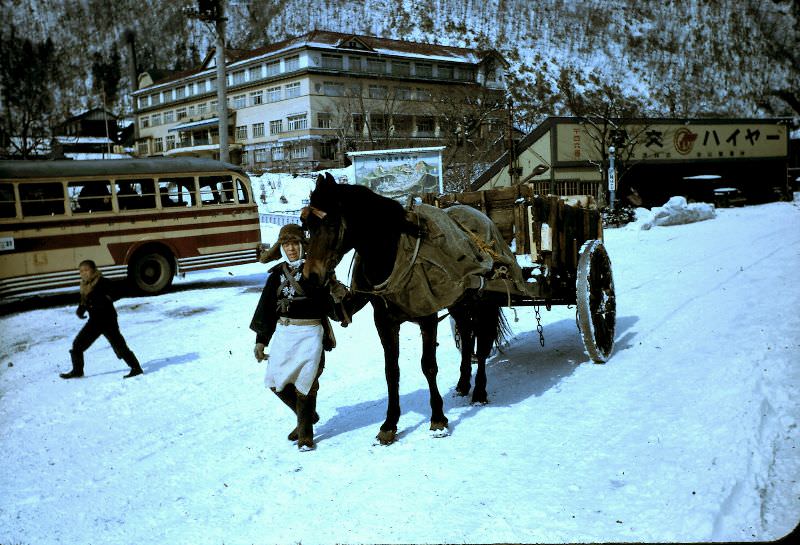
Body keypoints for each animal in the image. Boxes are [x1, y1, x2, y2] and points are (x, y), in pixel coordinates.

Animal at [301, 172, 508, 445]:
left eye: (333, 223)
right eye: (306, 226)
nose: (311, 276)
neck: (391, 256)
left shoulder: (428, 316)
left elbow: (428, 366)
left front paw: (438, 419)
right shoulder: (384, 321)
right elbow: (392, 371)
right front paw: (390, 423)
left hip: (482, 301)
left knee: (483, 343)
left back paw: (480, 391)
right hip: (458, 301)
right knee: (465, 333)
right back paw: (464, 383)